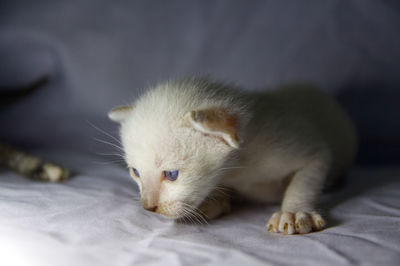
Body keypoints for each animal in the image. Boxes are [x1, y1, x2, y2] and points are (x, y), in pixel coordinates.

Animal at [108, 77, 356, 235]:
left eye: (171, 174)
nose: (147, 207)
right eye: (135, 172)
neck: (240, 167)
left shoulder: (306, 148)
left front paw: (294, 213)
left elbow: (305, 180)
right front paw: (213, 201)